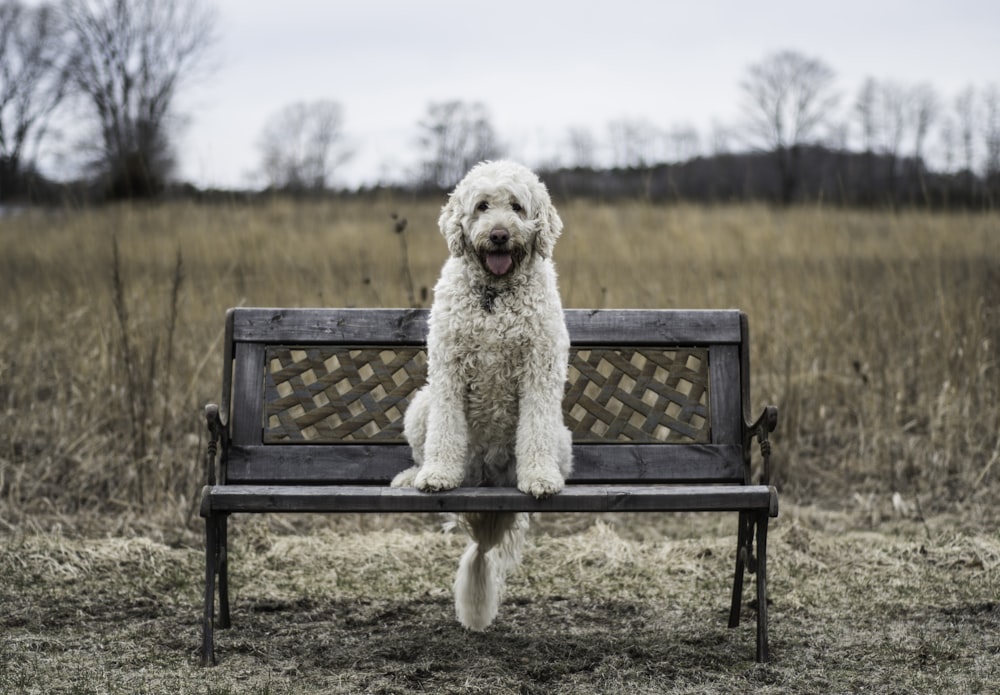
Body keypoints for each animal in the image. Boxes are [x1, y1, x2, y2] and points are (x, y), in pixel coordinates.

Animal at [394, 160, 576, 632]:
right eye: (481, 206)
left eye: (516, 206)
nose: (498, 234)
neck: (495, 295)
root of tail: (488, 480)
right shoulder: (447, 370)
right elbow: (444, 435)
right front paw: (438, 475)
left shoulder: (540, 370)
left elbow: (534, 432)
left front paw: (540, 479)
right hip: (421, 405)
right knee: (423, 447)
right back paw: (413, 476)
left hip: (560, 434)